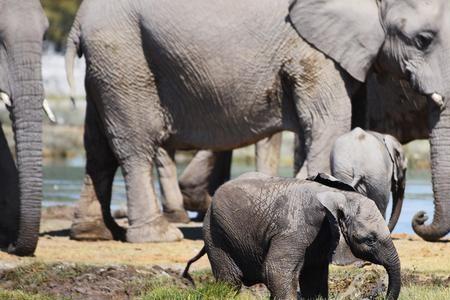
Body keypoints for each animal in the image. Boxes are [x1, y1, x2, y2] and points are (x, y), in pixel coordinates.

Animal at [65, 0, 450, 243]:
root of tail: (78, 21)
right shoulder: (311, 49)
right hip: (124, 52)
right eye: (423, 40)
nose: (419, 218)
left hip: (108, 64)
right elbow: (329, 119)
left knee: (97, 145)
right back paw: (157, 235)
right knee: (135, 144)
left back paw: (96, 233)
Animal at [183, 173, 400, 300]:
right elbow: (276, 270)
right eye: (369, 240)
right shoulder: (294, 229)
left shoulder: (322, 237)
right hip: (215, 231)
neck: (335, 195)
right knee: (231, 280)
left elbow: (313, 278)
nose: (381, 296)